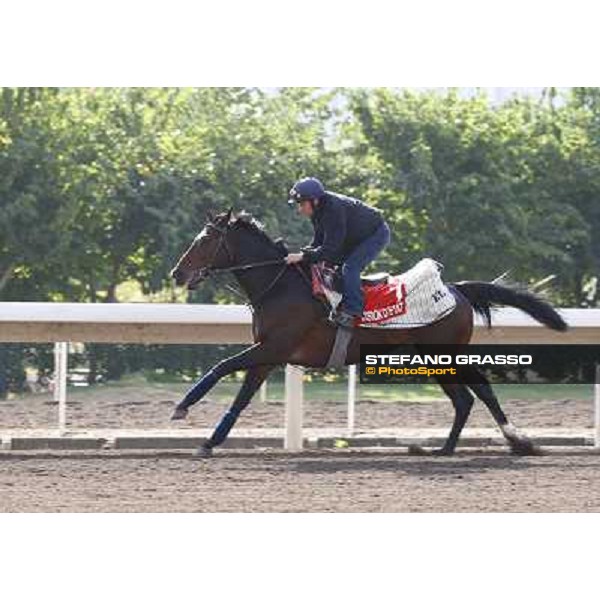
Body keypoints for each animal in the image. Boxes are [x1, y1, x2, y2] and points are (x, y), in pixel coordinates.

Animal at [169, 209, 568, 458]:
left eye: (204, 241)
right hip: (432, 358)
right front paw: (210, 441)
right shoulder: (268, 355)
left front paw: (182, 407)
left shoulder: (274, 347)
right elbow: (240, 399)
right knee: (464, 400)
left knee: (480, 390)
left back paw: (517, 441)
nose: (177, 273)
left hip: (444, 352)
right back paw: (443, 449)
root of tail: (456, 289)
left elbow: (220, 367)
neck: (280, 285)